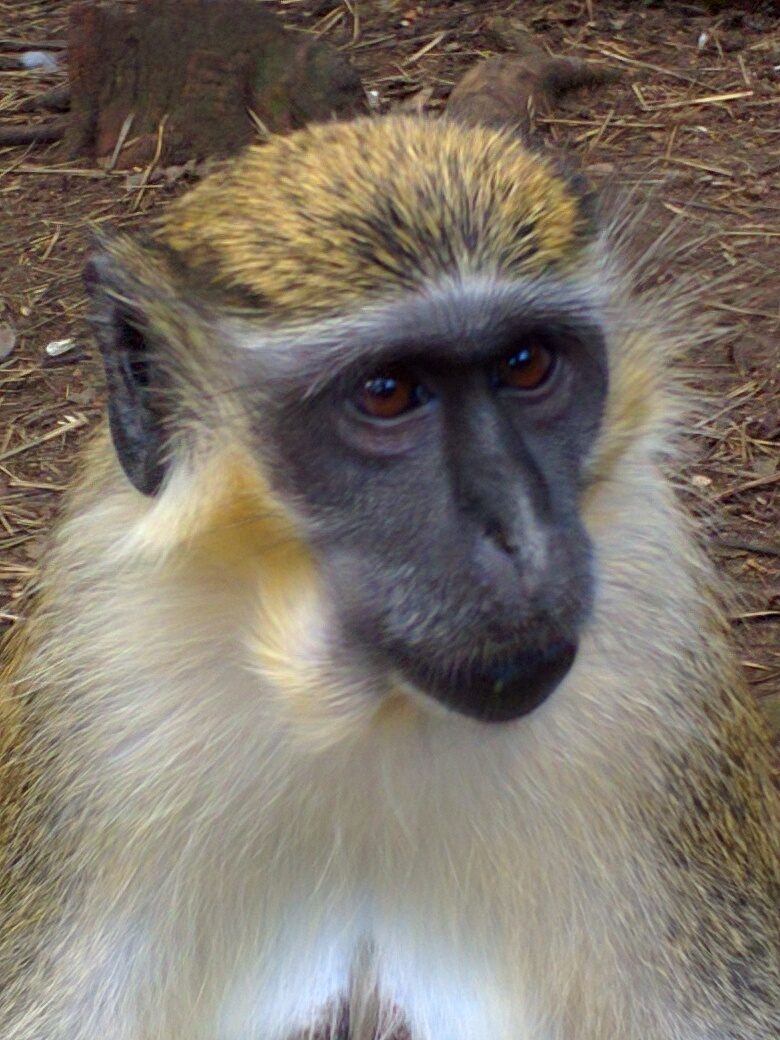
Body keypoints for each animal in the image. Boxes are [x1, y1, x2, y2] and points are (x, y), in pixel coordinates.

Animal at [0, 112, 778, 1040]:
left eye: (526, 364)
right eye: (386, 392)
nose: (523, 538)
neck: (377, 719)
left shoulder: (662, 653)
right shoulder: (101, 686)